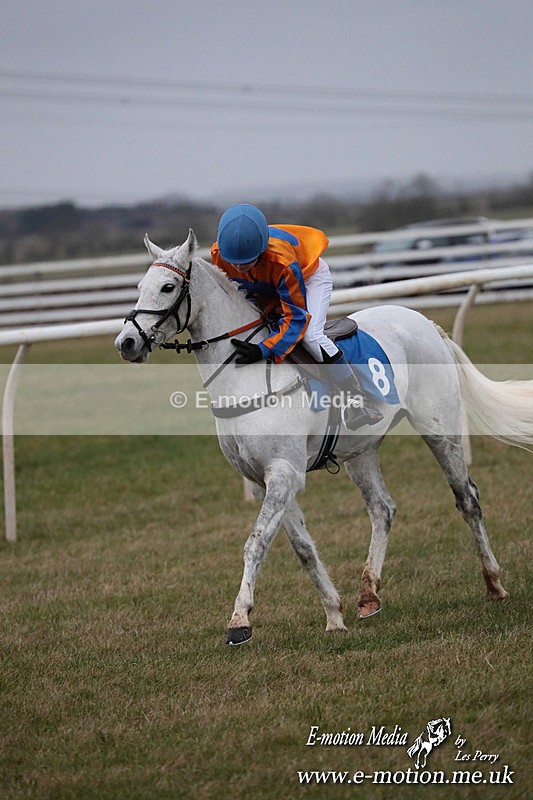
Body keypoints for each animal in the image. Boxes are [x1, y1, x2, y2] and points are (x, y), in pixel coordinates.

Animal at [115, 229, 533, 645]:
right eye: (139, 286)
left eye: (168, 287)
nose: (126, 343)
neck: (244, 374)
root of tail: (426, 322)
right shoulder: (263, 480)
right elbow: (302, 547)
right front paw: (334, 615)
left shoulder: (283, 473)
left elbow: (256, 542)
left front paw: (240, 620)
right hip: (360, 451)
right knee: (382, 509)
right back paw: (368, 595)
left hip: (439, 430)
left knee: (467, 500)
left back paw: (494, 583)